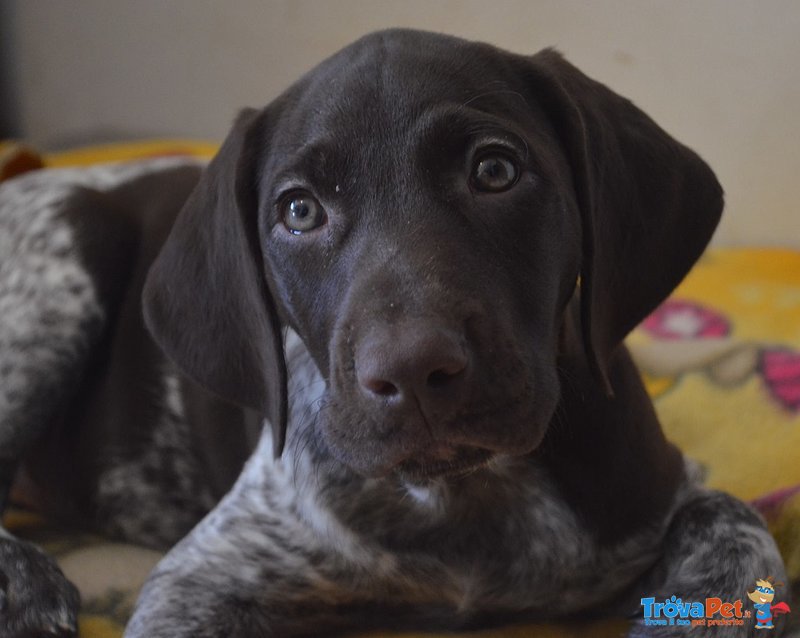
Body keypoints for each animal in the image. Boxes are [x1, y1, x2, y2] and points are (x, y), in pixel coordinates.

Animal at [0, 30, 788, 638]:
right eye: (299, 211)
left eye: (495, 169)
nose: (412, 373)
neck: (465, 497)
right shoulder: (204, 577)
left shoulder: (658, 491)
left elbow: (732, 517)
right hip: (65, 267)